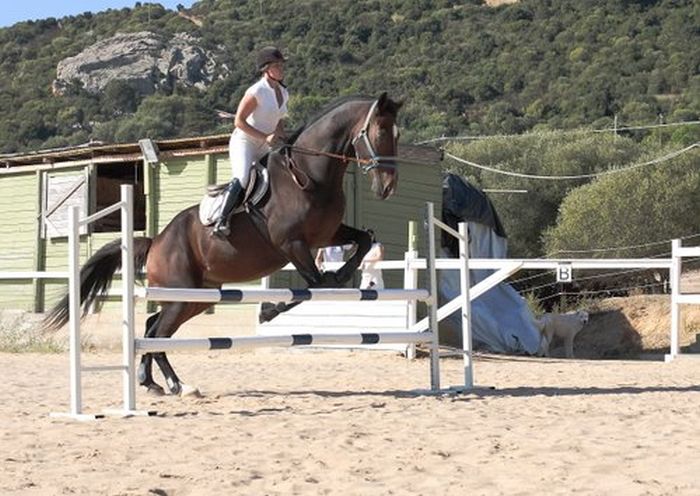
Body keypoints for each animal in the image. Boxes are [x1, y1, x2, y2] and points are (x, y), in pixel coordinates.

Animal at [43, 92, 402, 396]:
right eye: (380, 132)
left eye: (397, 136)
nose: (387, 187)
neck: (310, 175)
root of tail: (156, 241)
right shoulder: (291, 244)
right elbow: (316, 283)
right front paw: (269, 311)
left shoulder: (327, 235)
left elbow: (362, 242)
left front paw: (339, 275)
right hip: (181, 296)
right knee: (156, 333)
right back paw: (177, 385)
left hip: (194, 299)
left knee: (151, 327)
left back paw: (151, 382)